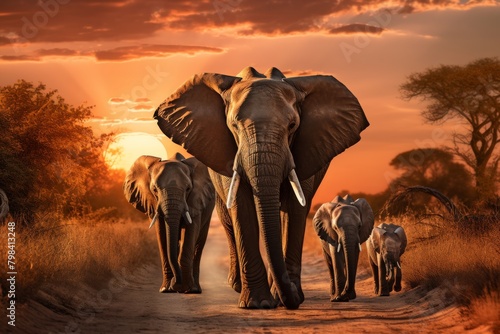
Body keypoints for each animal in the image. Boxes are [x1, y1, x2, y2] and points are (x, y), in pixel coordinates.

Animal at [125, 153, 215, 294]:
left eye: (188, 189)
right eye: (154, 189)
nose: (176, 285)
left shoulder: (195, 200)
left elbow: (191, 232)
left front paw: (186, 289)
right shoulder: (154, 203)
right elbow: (162, 234)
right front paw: (166, 289)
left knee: (199, 243)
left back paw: (195, 289)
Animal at [154, 66, 370, 310]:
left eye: (292, 126)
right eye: (234, 126)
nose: (293, 298)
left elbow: (294, 211)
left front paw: (283, 297)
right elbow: (243, 209)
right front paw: (258, 303)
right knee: (229, 222)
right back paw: (239, 287)